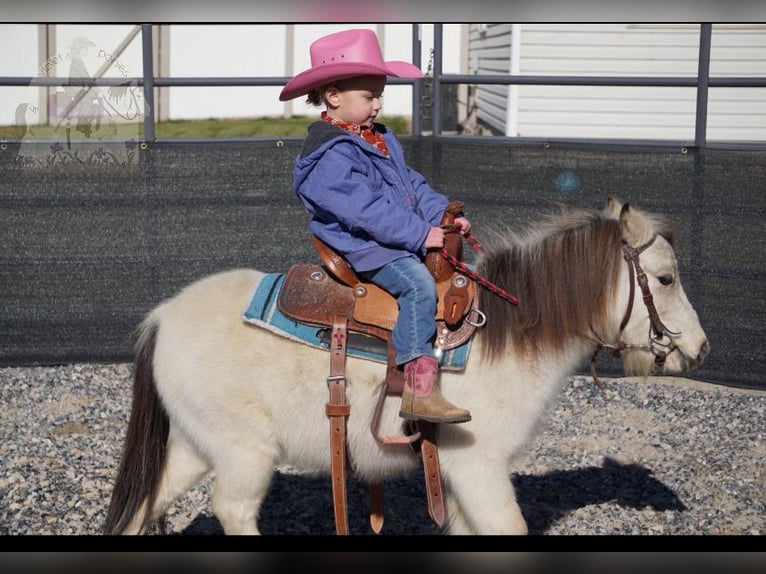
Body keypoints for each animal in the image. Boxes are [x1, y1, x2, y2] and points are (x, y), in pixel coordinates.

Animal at [105, 197, 712, 536]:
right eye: (664, 279)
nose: (701, 347)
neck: (506, 337)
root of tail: (161, 317)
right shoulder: (480, 466)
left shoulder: (461, 477)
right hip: (242, 454)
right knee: (232, 510)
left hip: (193, 446)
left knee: (143, 506)